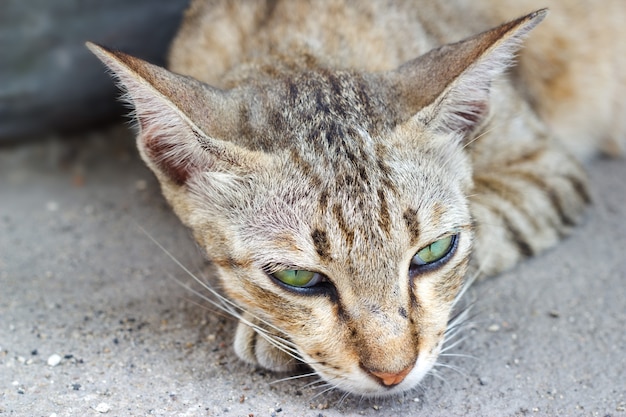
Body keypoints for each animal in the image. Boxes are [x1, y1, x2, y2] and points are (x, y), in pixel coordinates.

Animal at [85, 0, 620, 396]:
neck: (301, 36)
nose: (393, 373)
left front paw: (267, 332)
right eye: (298, 278)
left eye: (433, 252)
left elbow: (490, 224)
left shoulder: (546, 166)